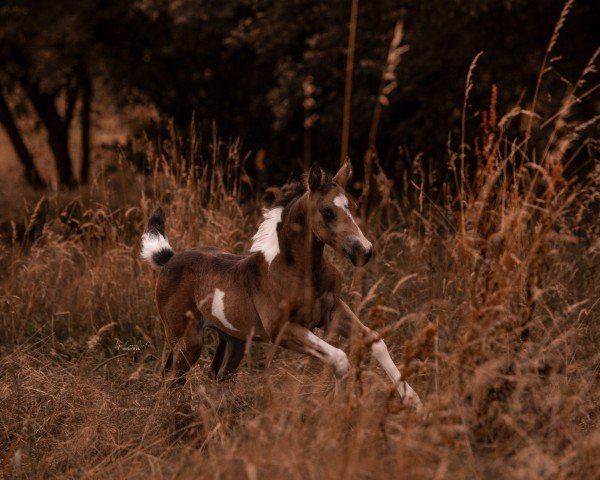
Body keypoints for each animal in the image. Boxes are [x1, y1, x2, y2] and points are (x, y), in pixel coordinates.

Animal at [141, 160, 422, 408]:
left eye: (351, 206)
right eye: (327, 212)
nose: (364, 250)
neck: (299, 272)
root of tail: (170, 259)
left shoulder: (333, 312)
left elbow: (375, 341)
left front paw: (413, 400)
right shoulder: (282, 330)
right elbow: (340, 359)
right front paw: (338, 408)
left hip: (234, 341)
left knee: (217, 375)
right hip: (188, 341)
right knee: (172, 381)